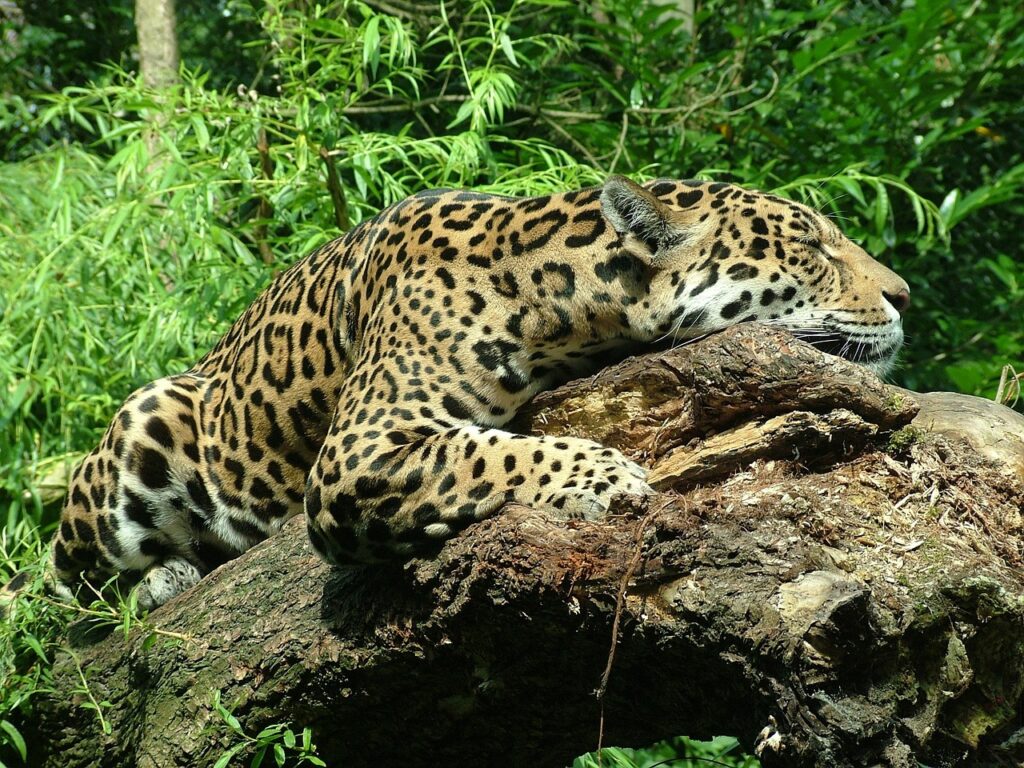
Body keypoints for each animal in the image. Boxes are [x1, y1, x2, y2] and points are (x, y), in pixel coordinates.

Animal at [35, 175, 910, 610]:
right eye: (810, 245)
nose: (904, 294)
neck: (561, 295)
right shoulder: (357, 452)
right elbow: (487, 454)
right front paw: (608, 478)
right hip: (141, 433)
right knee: (60, 588)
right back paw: (158, 579)